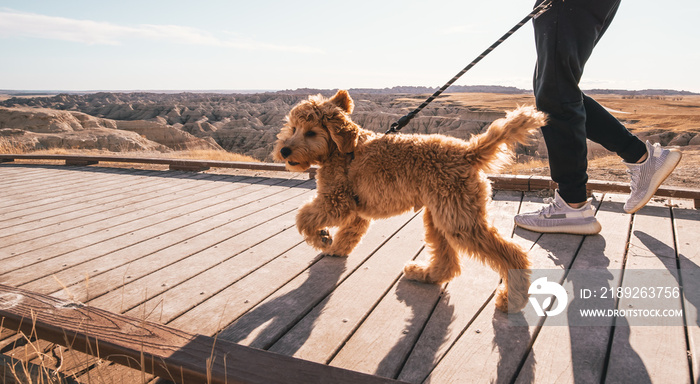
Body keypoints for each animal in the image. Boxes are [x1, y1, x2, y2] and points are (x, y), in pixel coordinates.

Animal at [272, 91, 548, 312]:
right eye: (293, 128)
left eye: (311, 132)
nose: (284, 151)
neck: (344, 149)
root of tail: (468, 152)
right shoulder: (357, 210)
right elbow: (349, 232)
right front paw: (336, 248)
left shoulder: (335, 200)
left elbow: (304, 216)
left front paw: (321, 238)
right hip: (440, 214)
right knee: (447, 262)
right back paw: (424, 273)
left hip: (459, 221)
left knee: (513, 255)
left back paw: (511, 299)